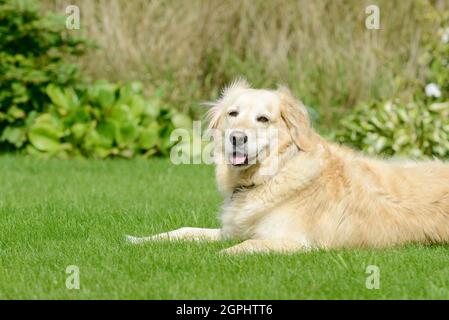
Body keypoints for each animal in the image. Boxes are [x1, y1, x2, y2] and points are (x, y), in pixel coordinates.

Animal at [125, 79, 448, 255]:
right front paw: (137, 239)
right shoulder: (232, 229)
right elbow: (183, 231)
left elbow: (238, 249)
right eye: (233, 114)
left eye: (263, 119)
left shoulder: (294, 242)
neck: (270, 175)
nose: (236, 138)